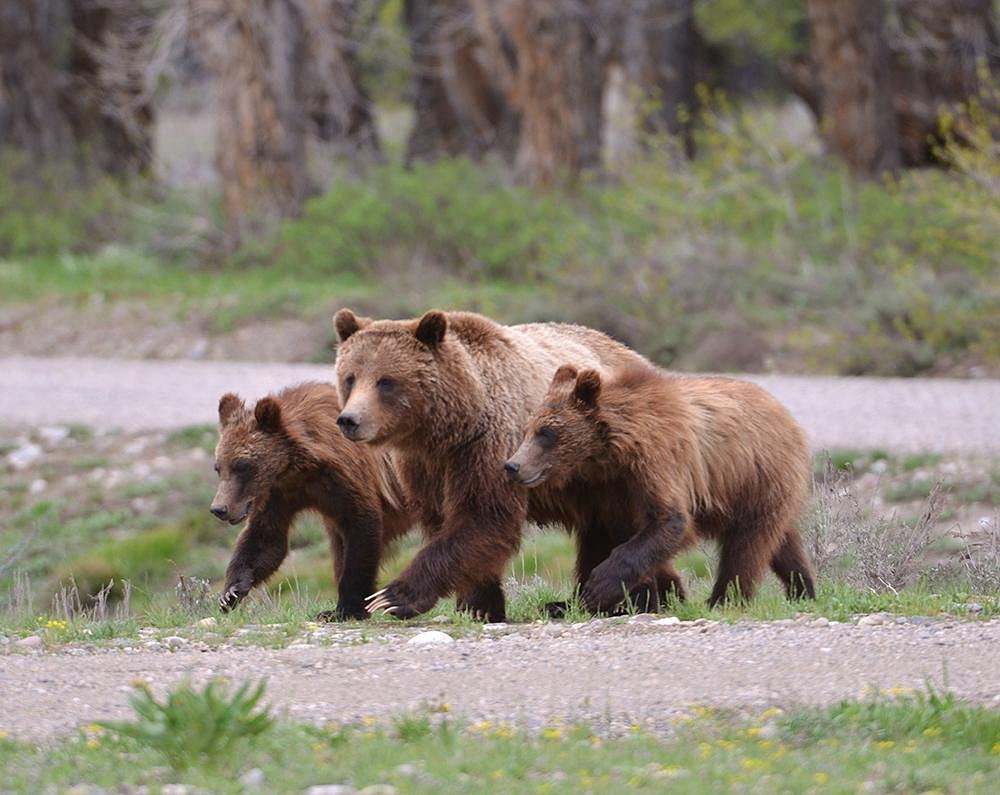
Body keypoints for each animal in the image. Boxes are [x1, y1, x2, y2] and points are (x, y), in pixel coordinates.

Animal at [211, 384, 410, 620]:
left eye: (242, 465)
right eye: (218, 467)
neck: (297, 469)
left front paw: (347, 608)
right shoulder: (277, 495)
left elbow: (361, 528)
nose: (219, 508)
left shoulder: (347, 478)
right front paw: (231, 592)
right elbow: (265, 538)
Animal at [332, 308, 652, 624]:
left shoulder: (490, 446)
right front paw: (480, 606)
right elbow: (447, 523)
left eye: (385, 381)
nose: (349, 420)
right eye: (350, 378)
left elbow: (483, 516)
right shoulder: (424, 466)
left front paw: (392, 597)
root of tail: (633, 353)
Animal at [504, 364, 816, 612]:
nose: (512, 465)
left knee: (747, 544)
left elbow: (669, 521)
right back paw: (803, 589)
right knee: (782, 542)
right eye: (527, 430)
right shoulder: (610, 490)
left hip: (755, 477)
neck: (610, 452)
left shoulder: (659, 461)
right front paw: (576, 600)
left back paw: (724, 599)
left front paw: (600, 588)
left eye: (547, 433)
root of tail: (787, 415)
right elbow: (607, 536)